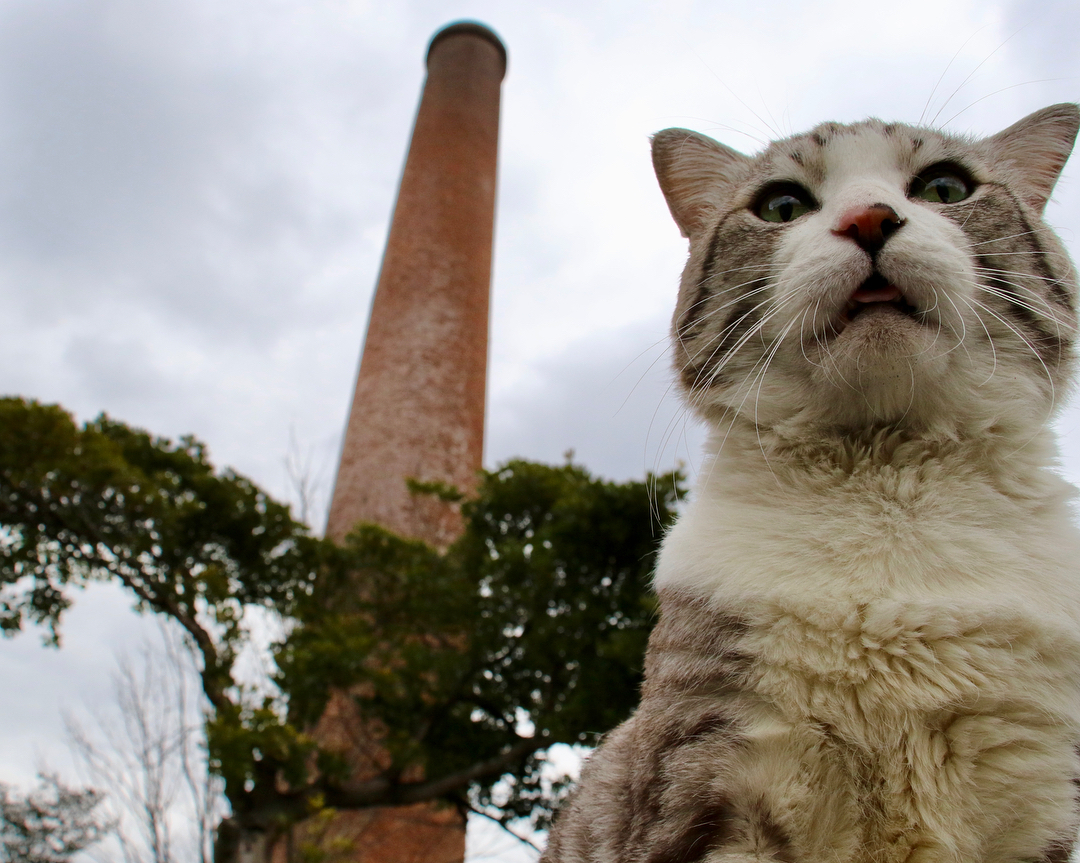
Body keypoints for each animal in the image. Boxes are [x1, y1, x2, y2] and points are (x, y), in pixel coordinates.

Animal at [544, 103, 1080, 863]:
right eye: (782, 205)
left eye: (945, 187)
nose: (868, 218)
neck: (887, 489)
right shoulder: (712, 774)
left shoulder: (1034, 789)